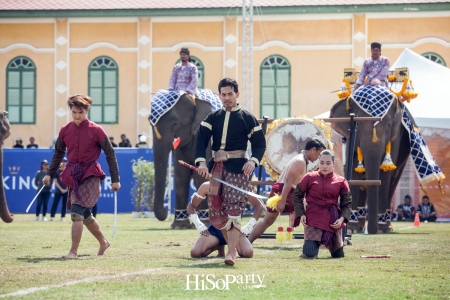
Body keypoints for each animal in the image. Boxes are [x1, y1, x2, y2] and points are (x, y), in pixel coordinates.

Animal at [149, 94, 216, 227]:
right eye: (150, 123)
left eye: (175, 123)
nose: (165, 212)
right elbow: (180, 176)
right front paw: (180, 225)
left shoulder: (204, 139)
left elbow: (201, 176)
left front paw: (205, 222)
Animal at [328, 94, 410, 234]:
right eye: (358, 125)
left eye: (388, 125)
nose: (372, 230)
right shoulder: (350, 136)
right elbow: (354, 170)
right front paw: (351, 229)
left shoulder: (395, 137)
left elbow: (385, 173)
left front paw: (381, 229)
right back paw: (358, 228)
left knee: (393, 182)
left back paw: (387, 227)